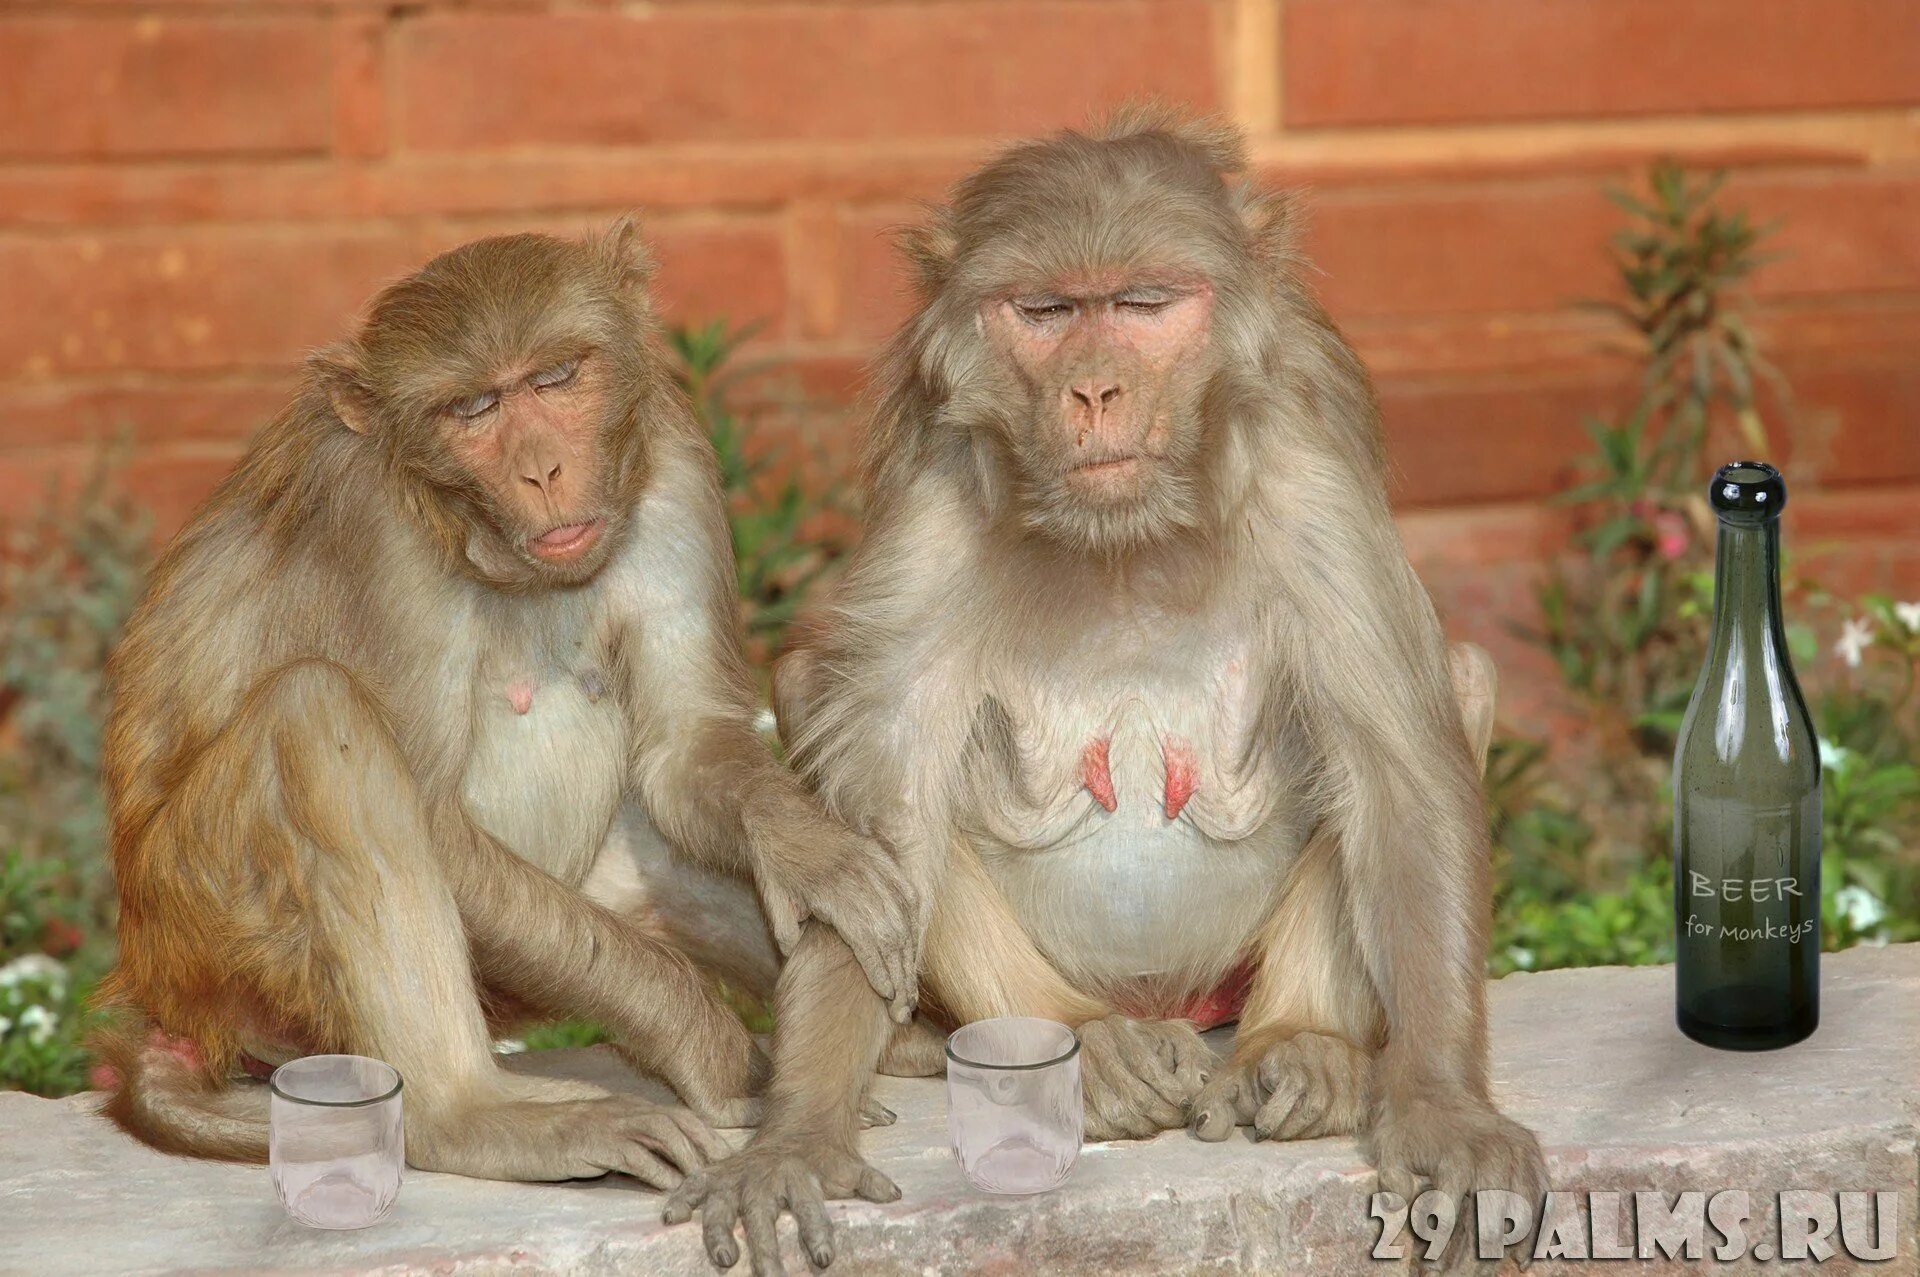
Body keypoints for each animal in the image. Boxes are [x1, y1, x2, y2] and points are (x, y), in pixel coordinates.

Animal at [90, 216, 921, 1182]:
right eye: (474, 409)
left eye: (556, 377)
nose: (543, 470)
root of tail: (160, 993)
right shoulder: (374, 527)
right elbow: (435, 824)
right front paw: (712, 1050)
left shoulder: (672, 462)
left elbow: (686, 754)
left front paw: (808, 850)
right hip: (217, 933)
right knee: (315, 711)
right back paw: (470, 1114)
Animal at [668, 107, 1551, 1267]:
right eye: (1046, 312)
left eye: (1140, 306)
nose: (1093, 389)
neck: (1124, 540)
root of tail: (1173, 999)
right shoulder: (933, 523)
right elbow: (880, 844)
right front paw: (797, 1135)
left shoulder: (1310, 488)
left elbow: (1401, 777)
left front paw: (1446, 1109)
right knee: (819, 686)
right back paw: (1088, 1045)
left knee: (1456, 681)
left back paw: (1301, 1042)